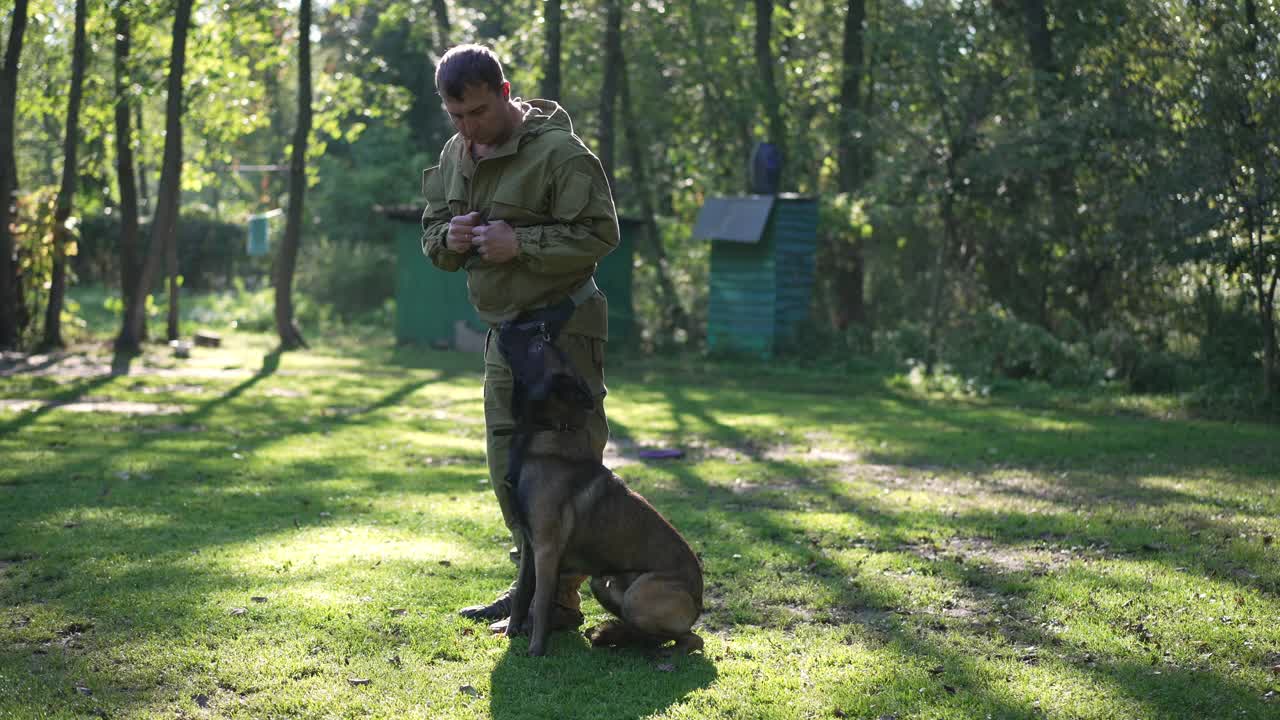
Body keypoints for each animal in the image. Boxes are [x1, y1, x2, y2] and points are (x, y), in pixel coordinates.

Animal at [499, 345, 706, 653]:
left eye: (537, 346)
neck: (549, 432)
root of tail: (699, 601)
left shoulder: (546, 551)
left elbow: (542, 602)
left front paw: (535, 650)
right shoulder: (528, 546)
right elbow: (523, 593)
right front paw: (512, 632)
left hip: (638, 595)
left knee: (691, 638)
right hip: (603, 582)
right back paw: (619, 638)